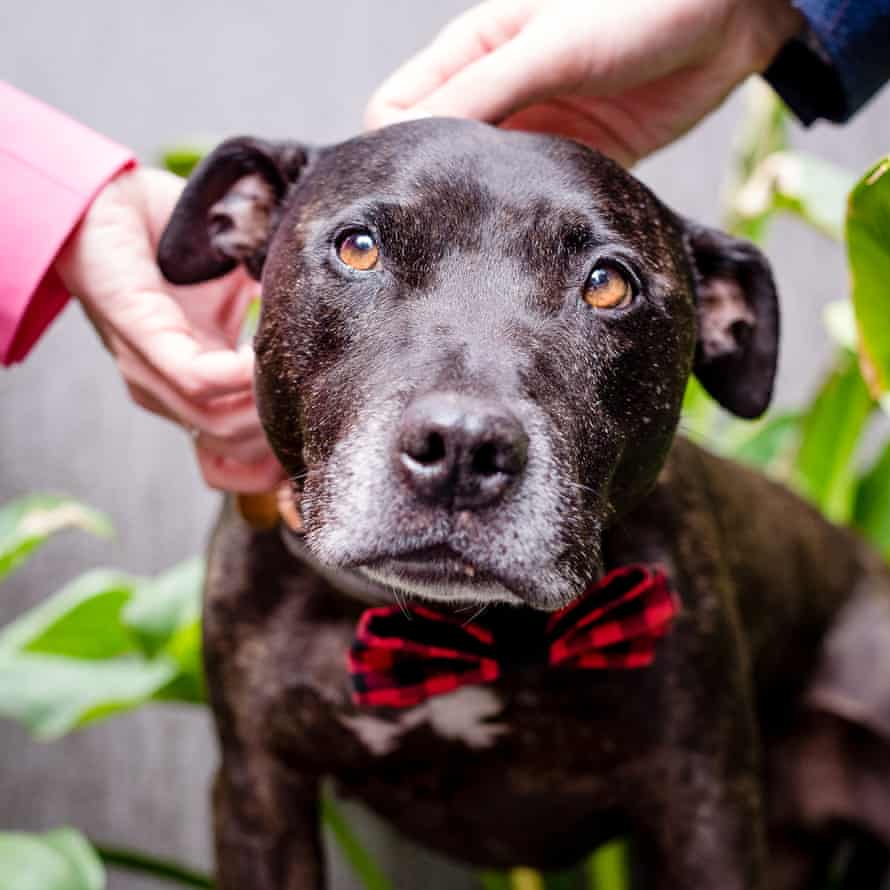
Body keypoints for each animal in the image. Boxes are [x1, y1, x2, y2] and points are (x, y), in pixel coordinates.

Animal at [158, 119, 888, 888]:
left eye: (607, 284)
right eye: (358, 247)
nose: (461, 447)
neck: (458, 629)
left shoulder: (703, 808)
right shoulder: (258, 794)